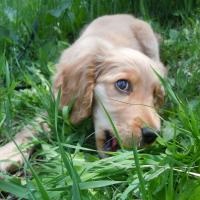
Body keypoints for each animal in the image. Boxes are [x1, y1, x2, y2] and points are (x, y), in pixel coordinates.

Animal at [0, 14, 166, 170]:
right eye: (122, 84)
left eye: (155, 96)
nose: (152, 135)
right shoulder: (55, 102)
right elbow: (33, 126)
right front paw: (8, 154)